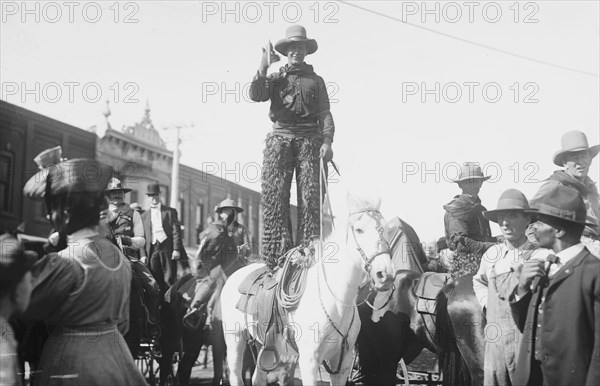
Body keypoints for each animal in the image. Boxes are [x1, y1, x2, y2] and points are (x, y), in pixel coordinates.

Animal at [223, 195, 396, 384]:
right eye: (359, 230)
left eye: (387, 230)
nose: (385, 275)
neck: (336, 303)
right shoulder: (309, 360)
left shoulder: (343, 362)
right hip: (235, 338)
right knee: (235, 375)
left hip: (265, 346)